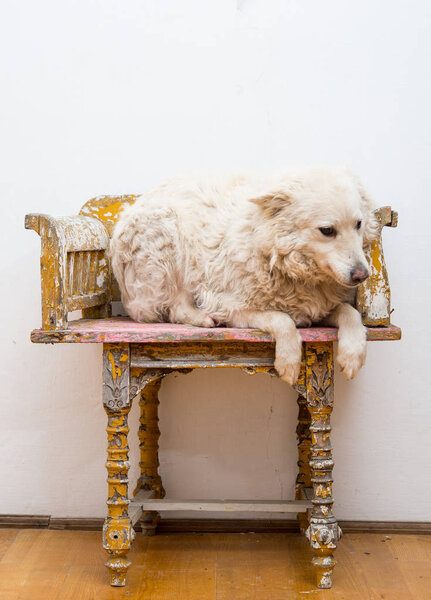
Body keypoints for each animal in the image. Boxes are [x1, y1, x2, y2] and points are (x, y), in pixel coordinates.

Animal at [111, 166, 378, 384]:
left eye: (358, 224)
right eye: (327, 230)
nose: (362, 275)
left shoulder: (317, 306)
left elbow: (350, 313)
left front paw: (352, 355)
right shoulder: (233, 309)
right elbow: (283, 320)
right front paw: (288, 362)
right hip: (169, 241)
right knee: (176, 308)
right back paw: (204, 319)